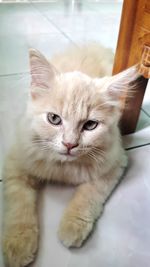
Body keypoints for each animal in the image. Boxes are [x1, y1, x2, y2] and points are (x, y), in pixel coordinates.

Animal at [2, 44, 140, 267]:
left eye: (90, 125)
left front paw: (72, 226)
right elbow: (18, 204)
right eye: (54, 119)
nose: (69, 144)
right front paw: (19, 243)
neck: (62, 166)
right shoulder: (16, 162)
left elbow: (89, 195)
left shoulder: (115, 163)